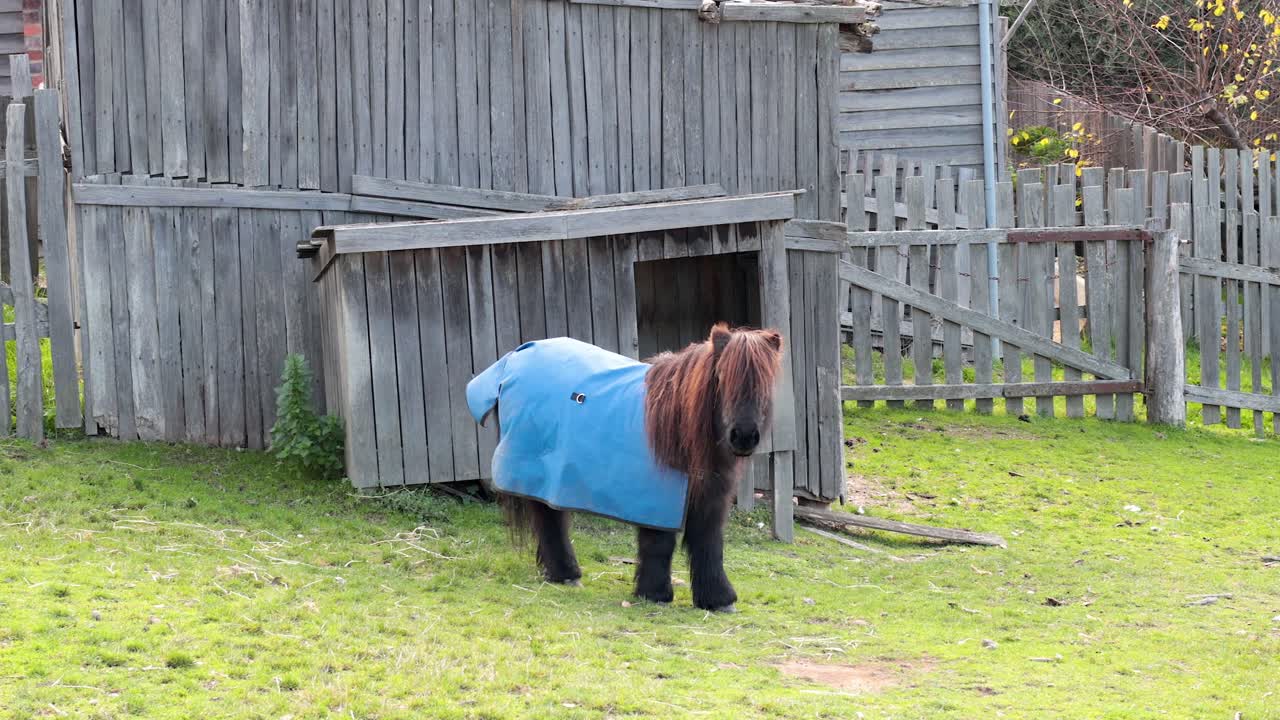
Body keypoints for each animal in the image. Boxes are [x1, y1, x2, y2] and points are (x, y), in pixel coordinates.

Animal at [466, 323, 784, 612]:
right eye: (721, 377)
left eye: (766, 383)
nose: (744, 436)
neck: (678, 422)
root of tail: (516, 356)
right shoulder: (657, 495)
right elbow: (658, 543)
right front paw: (654, 593)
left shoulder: (709, 500)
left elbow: (709, 545)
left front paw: (717, 600)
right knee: (548, 519)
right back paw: (566, 574)